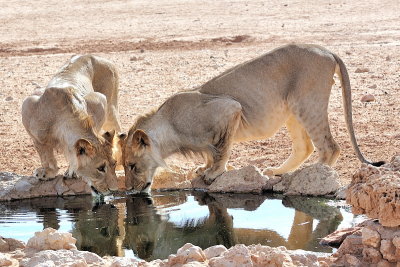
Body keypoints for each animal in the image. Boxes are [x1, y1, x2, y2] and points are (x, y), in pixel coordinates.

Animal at [21, 55, 121, 196]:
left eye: (114, 163)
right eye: (100, 168)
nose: (114, 189)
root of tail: (90, 55)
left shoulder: (99, 102)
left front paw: (72, 171)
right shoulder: (28, 105)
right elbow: (44, 153)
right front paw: (47, 172)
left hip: (110, 107)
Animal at [119, 44, 384, 193]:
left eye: (132, 165)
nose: (130, 190)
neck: (169, 127)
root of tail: (327, 50)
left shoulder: (230, 108)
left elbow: (222, 149)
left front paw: (213, 173)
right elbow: (211, 151)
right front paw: (204, 167)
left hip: (308, 103)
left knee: (329, 147)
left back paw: (309, 177)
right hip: (292, 109)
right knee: (304, 147)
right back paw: (278, 171)